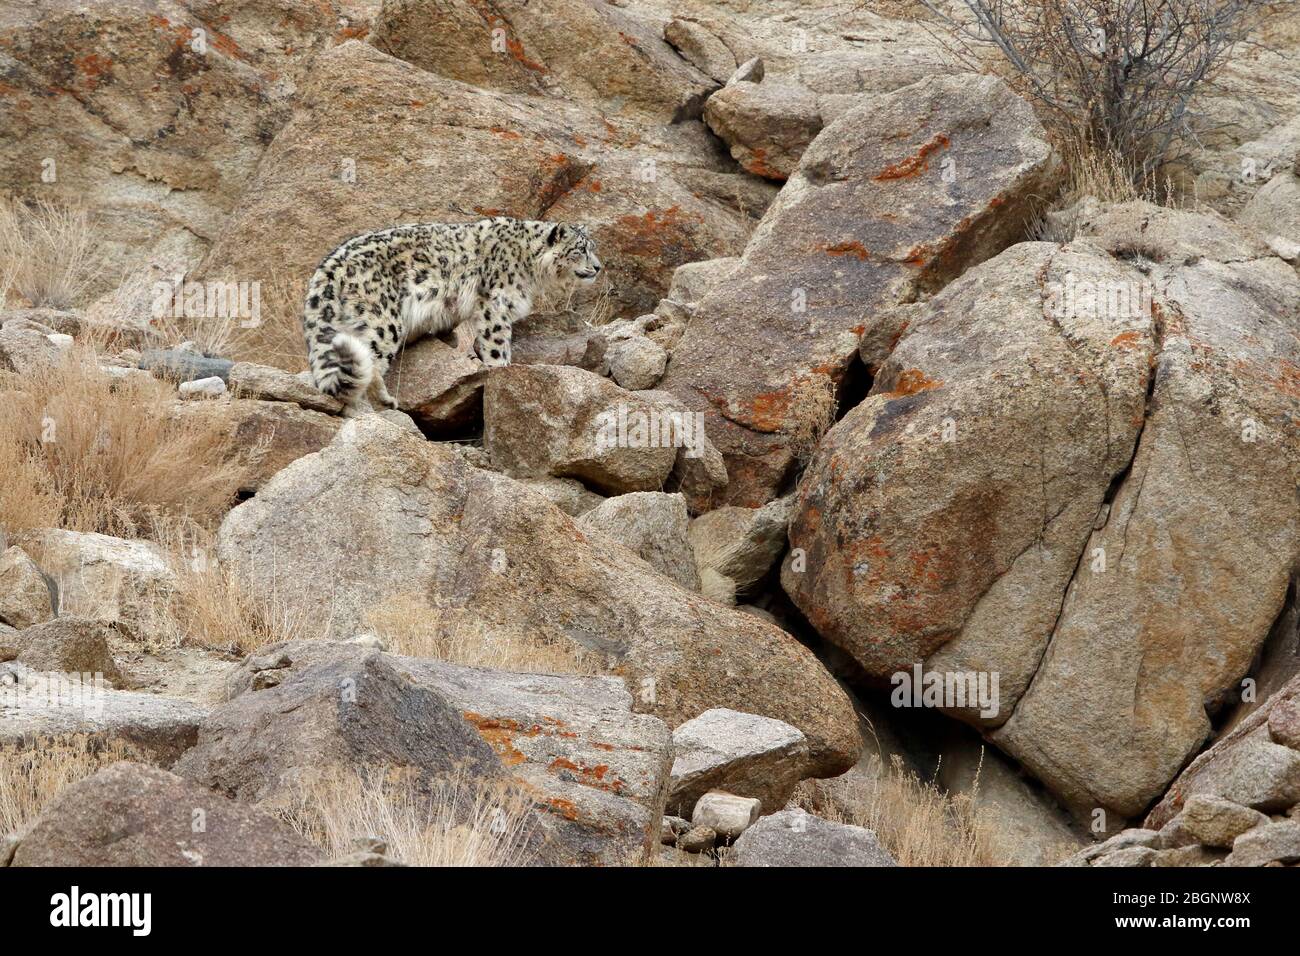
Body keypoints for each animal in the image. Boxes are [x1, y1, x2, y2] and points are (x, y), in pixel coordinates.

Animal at [304, 218, 603, 416]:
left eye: (592, 246)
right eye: (580, 249)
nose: (599, 267)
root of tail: (329, 265)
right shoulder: (495, 305)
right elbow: (497, 345)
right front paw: (502, 371)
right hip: (383, 319)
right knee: (371, 359)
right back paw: (380, 403)